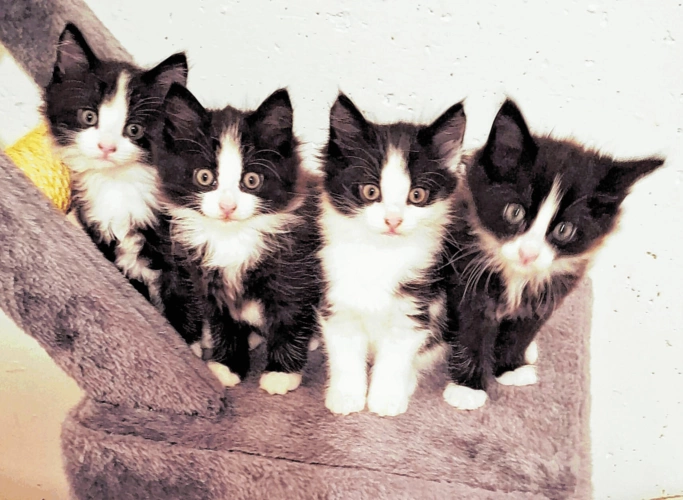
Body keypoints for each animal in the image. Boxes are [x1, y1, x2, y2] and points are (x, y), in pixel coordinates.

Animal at [151, 83, 322, 394]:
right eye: (204, 177)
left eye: (251, 180)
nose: (227, 206)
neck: (232, 238)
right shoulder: (206, 279)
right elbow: (223, 324)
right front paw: (228, 365)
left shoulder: (295, 270)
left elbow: (289, 319)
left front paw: (281, 373)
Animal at [318, 93, 466, 416]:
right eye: (371, 192)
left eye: (417, 195)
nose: (393, 220)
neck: (381, 256)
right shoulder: (338, 302)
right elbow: (345, 353)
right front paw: (346, 396)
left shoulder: (414, 309)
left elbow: (396, 357)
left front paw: (385, 398)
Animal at [442, 99, 665, 410]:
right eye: (514, 212)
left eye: (564, 230)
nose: (529, 253)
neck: (517, 276)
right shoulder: (466, 270)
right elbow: (472, 328)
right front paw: (468, 387)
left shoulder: (553, 289)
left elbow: (525, 328)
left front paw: (510, 367)